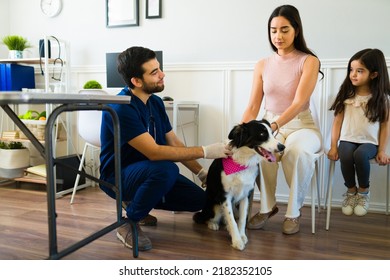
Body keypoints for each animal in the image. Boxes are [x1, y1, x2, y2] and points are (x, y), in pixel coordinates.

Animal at [193, 119, 284, 250]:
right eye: (262, 134)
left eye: (272, 133)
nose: (282, 147)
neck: (243, 162)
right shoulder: (225, 196)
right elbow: (231, 220)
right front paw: (237, 241)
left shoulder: (245, 195)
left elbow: (241, 219)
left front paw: (242, 236)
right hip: (215, 205)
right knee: (208, 217)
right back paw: (213, 224)